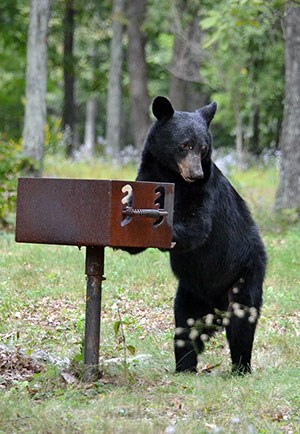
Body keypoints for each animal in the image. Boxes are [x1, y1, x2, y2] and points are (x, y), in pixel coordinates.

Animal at [130, 96, 266, 374]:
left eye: (203, 148)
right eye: (185, 145)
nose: (196, 174)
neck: (171, 175)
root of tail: (216, 304)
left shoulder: (204, 193)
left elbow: (197, 225)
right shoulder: (148, 177)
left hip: (244, 273)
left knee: (241, 322)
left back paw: (240, 368)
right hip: (190, 293)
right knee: (185, 325)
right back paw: (185, 365)